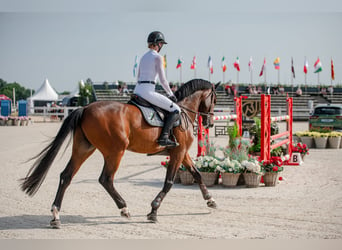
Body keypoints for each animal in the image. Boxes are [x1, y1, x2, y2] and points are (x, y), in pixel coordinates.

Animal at [21, 79, 219, 228]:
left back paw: (56, 216)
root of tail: (85, 108)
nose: (209, 122)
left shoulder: (182, 153)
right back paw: (124, 209)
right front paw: (153, 211)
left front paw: (210, 200)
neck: (183, 110)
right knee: (106, 179)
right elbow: (169, 182)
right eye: (215, 99)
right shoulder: (178, 153)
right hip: (116, 151)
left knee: (66, 176)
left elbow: (197, 174)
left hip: (84, 149)